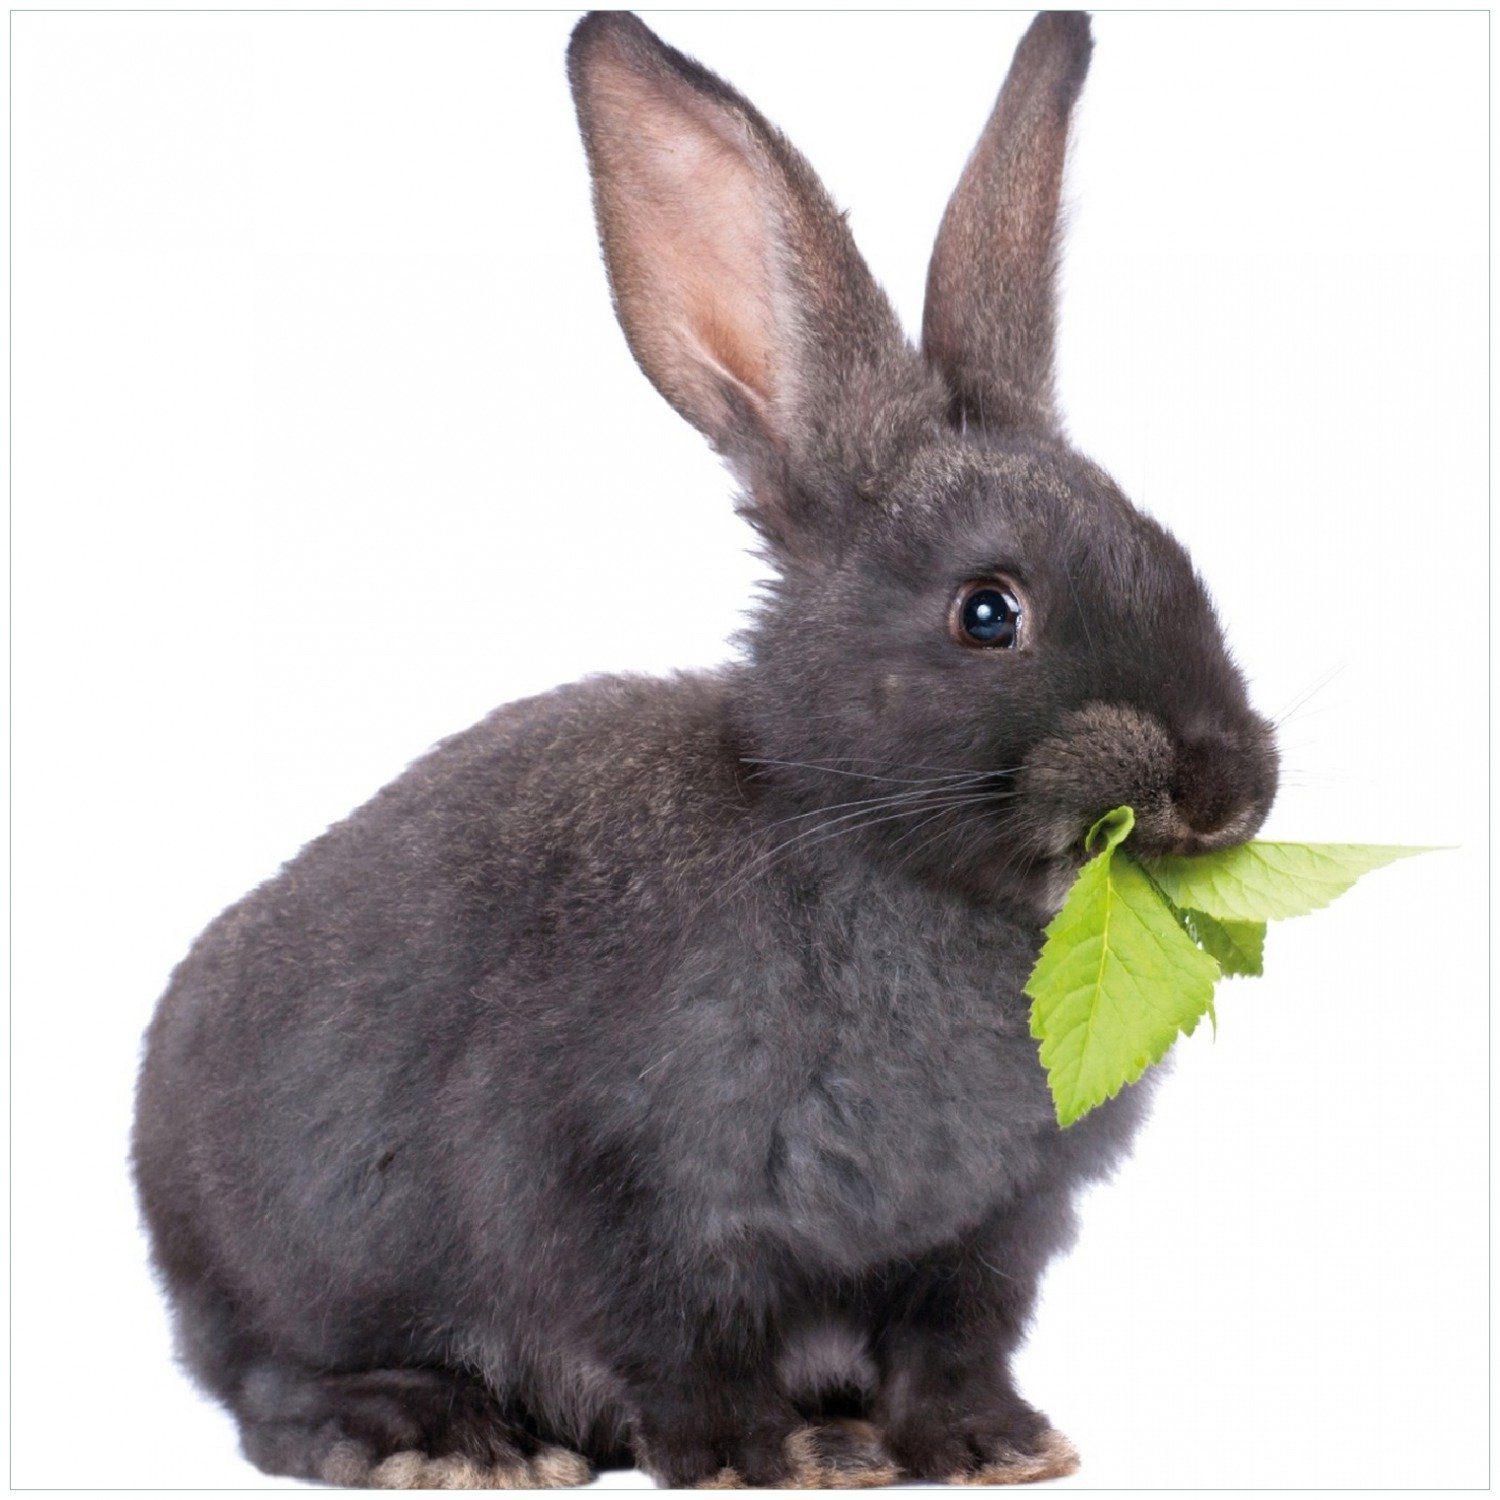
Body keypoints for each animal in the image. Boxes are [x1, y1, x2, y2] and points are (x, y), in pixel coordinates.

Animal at [135, 11, 1278, 1488]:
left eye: (1175, 557)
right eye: (989, 611)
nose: (1223, 790)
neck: (871, 853)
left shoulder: (981, 1243)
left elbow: (952, 1344)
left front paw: (989, 1446)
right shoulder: (608, 1187)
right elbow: (672, 1342)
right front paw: (749, 1456)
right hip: (301, 1270)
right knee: (270, 1390)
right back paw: (435, 1436)